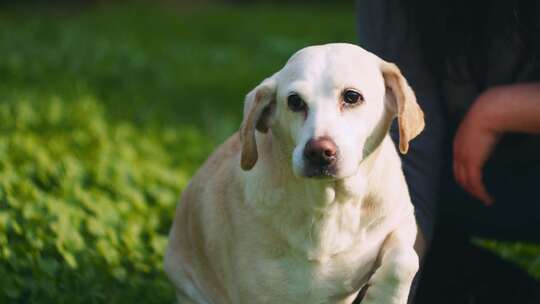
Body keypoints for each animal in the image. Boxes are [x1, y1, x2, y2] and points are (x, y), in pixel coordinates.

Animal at [162, 43, 424, 304]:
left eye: (351, 97)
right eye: (295, 101)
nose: (318, 152)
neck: (329, 205)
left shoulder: (401, 219)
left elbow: (405, 261)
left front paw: (385, 295)